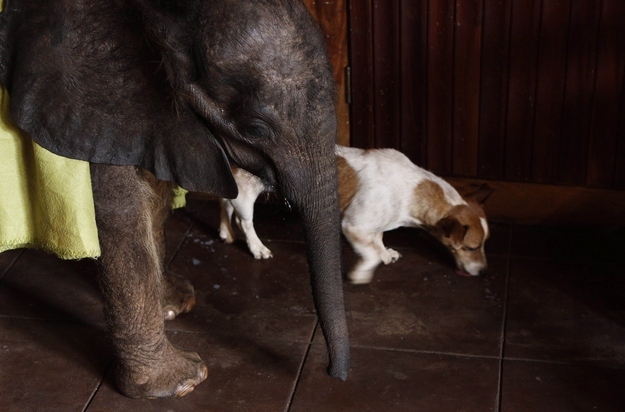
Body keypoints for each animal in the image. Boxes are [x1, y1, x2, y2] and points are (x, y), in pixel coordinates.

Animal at [0, 0, 350, 399]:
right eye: (255, 129)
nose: (331, 373)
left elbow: (152, 193)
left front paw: (177, 305)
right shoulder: (89, 101)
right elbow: (121, 214)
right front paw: (182, 382)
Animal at [220, 145, 493, 284]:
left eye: (483, 245)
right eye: (471, 248)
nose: (484, 272)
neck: (413, 188)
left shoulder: (376, 225)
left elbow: (378, 241)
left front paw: (385, 254)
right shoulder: (353, 226)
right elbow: (370, 254)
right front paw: (361, 273)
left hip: (235, 190)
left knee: (224, 203)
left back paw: (225, 232)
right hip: (246, 196)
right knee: (246, 222)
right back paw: (257, 247)